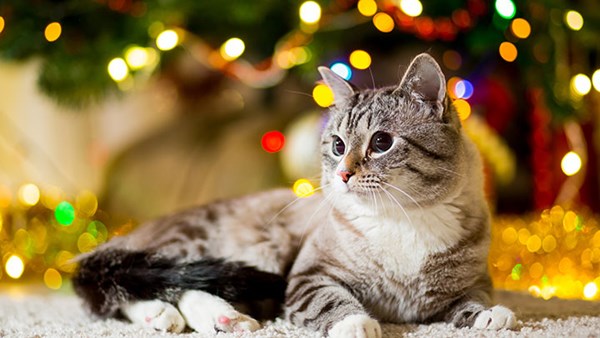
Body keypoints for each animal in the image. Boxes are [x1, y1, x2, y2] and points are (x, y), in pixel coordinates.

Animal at [74, 52, 516, 336]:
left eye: (381, 142)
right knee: (148, 286)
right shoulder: (308, 277)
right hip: (216, 254)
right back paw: (200, 318)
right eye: (337, 145)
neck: (404, 219)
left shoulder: (468, 285)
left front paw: (489, 317)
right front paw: (357, 324)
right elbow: (331, 302)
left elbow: (473, 301)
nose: (343, 173)